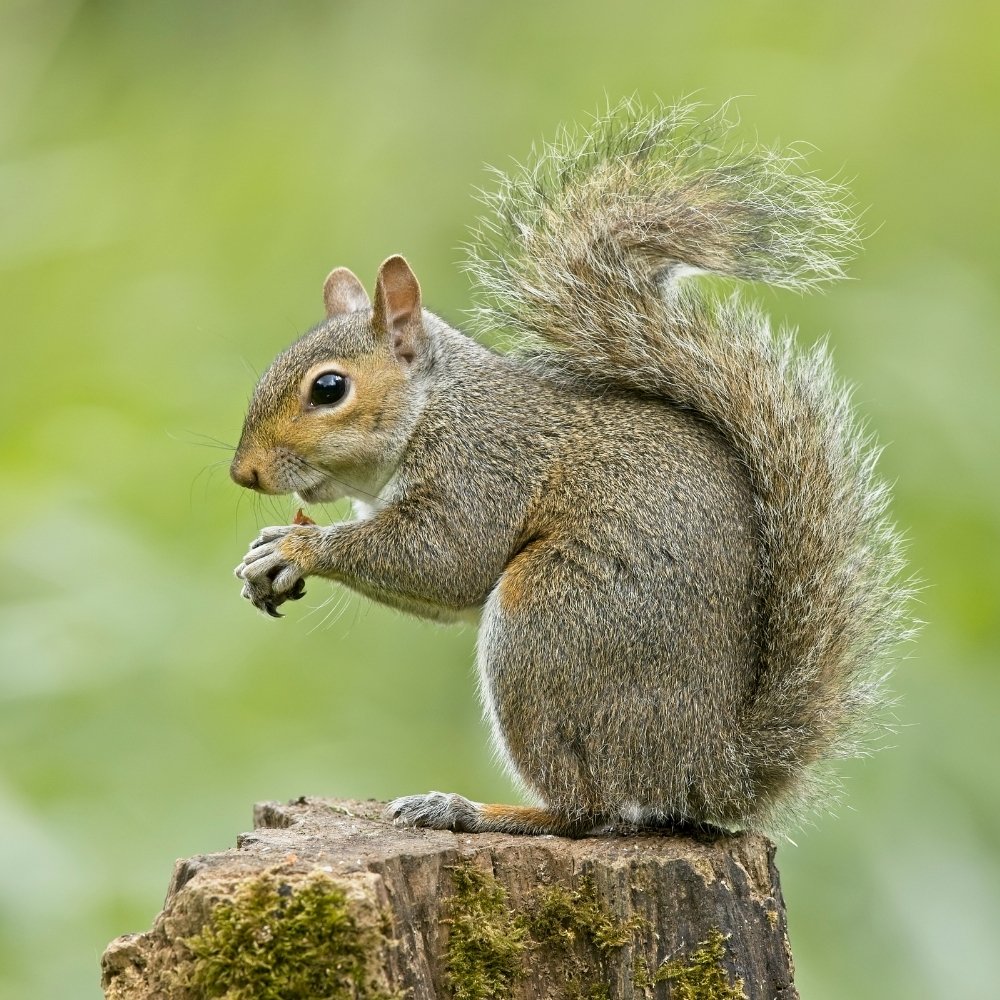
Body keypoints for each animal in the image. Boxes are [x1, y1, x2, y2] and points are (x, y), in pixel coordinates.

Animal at [231, 100, 911, 836]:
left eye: (329, 388)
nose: (244, 473)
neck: (435, 408)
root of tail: (710, 770)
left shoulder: (484, 467)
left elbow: (447, 560)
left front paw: (297, 547)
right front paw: (271, 555)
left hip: (550, 625)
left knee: (587, 807)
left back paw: (473, 809)